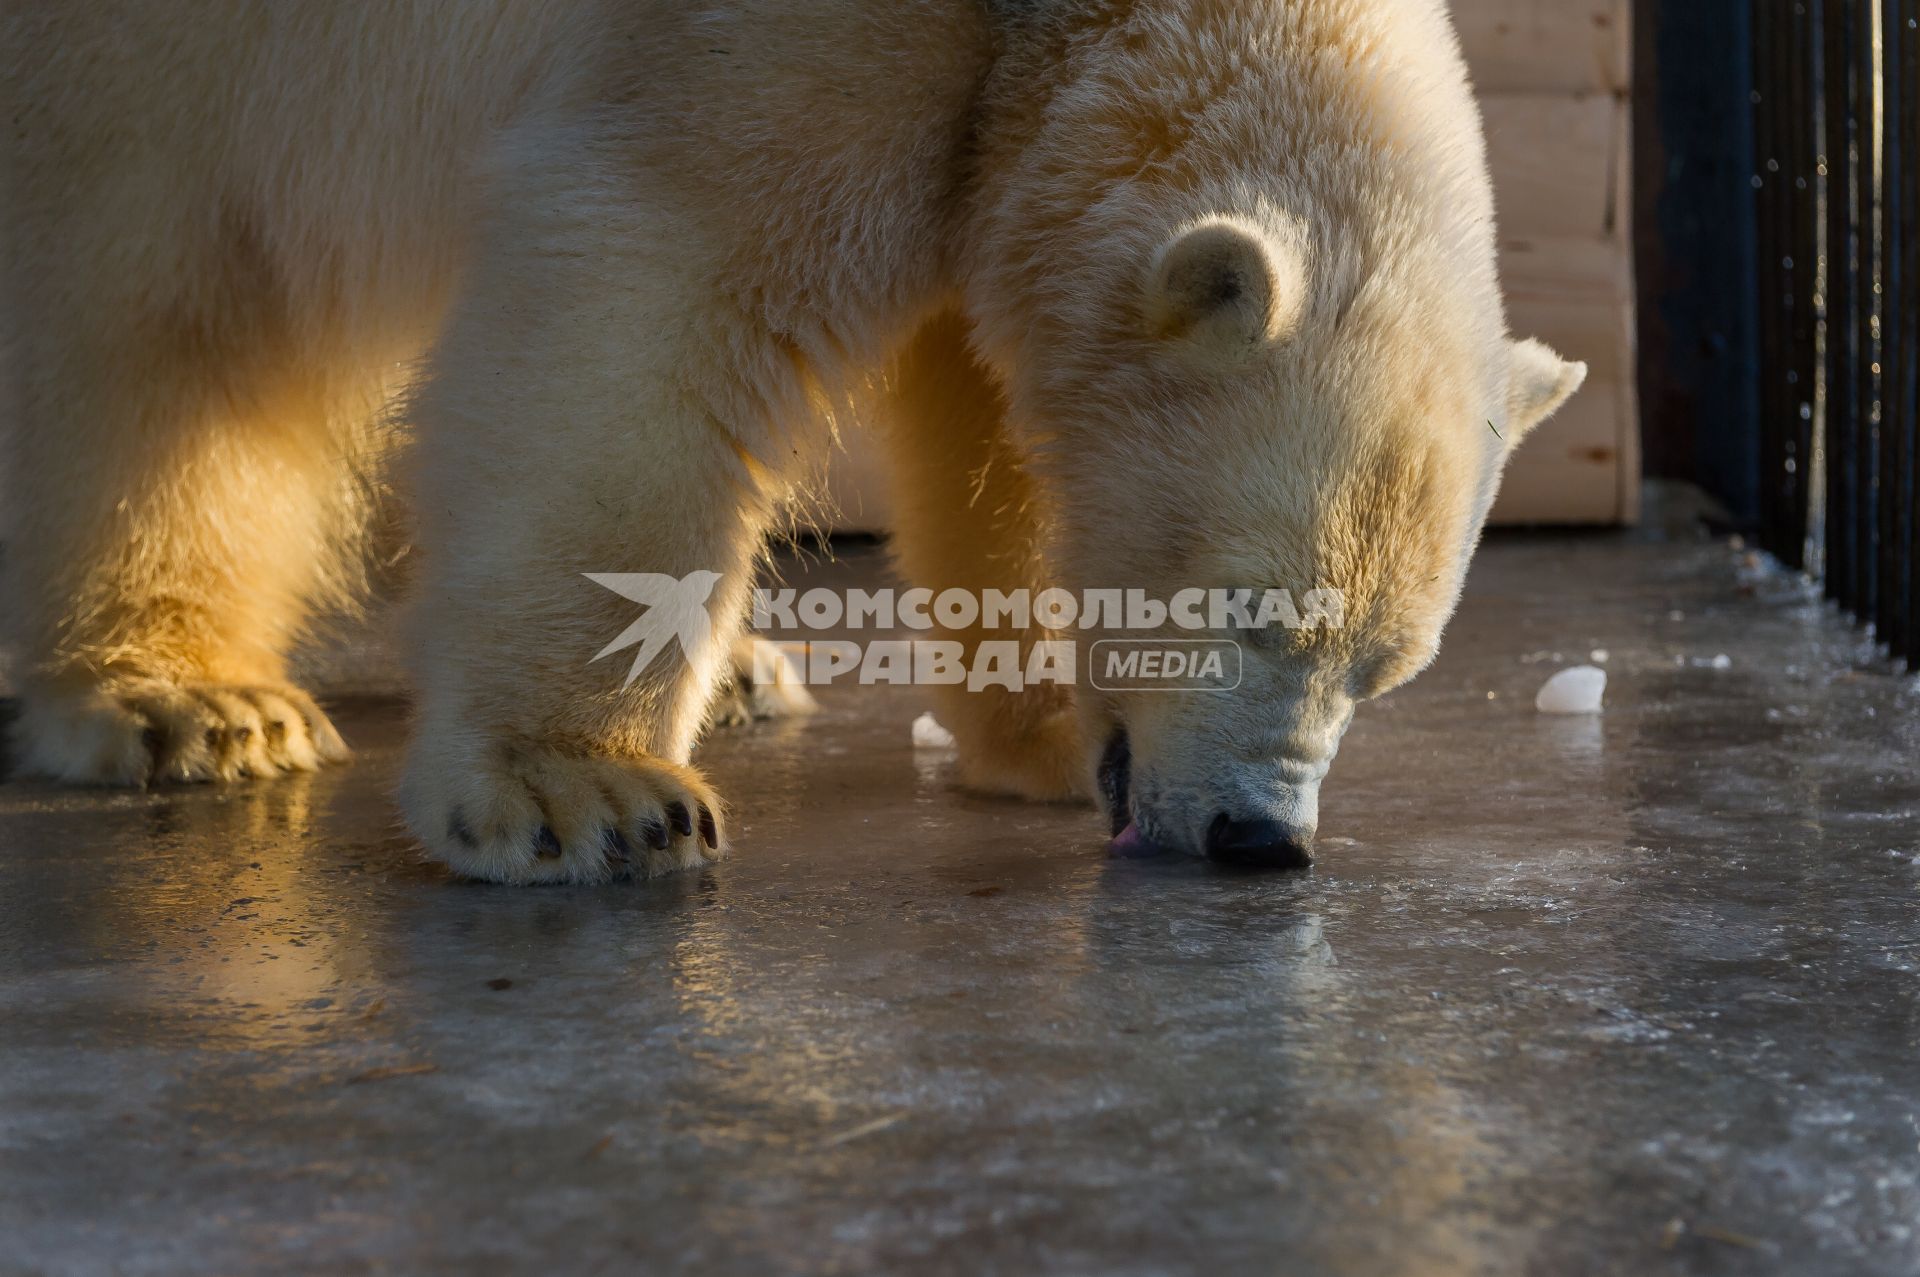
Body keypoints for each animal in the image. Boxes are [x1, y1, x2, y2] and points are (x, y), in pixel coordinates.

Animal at [0, 0, 1582, 875]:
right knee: (151, 321)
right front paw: (583, 788)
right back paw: (182, 700)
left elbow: (986, 400)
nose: (1265, 841)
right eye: (1248, 609)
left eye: (1390, 668)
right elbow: (658, 275)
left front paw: (1044, 726)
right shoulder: (774, 33)